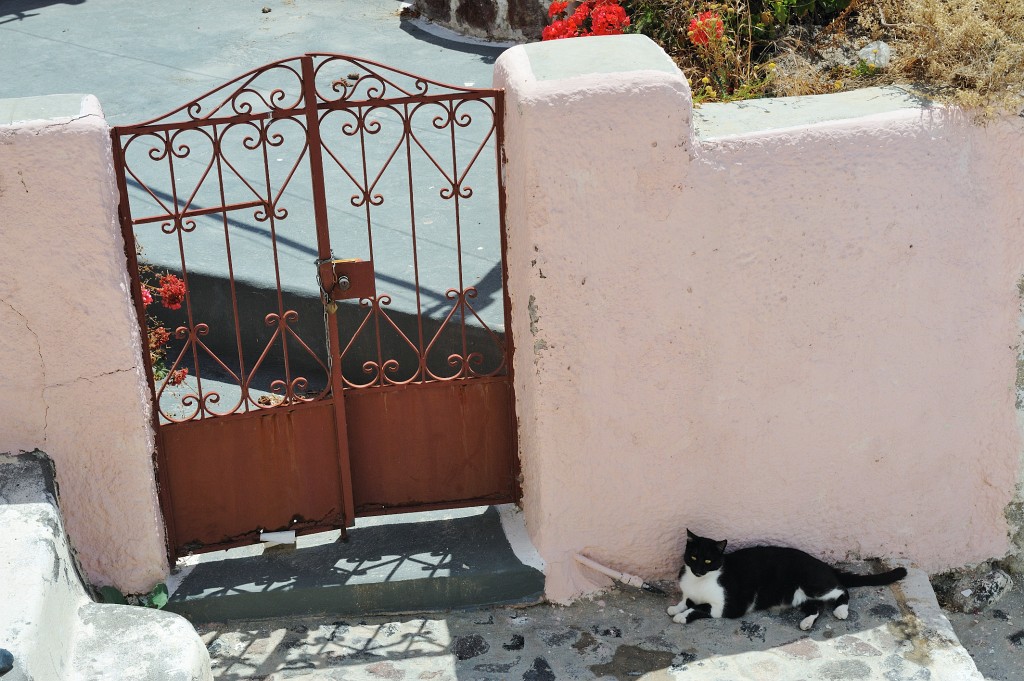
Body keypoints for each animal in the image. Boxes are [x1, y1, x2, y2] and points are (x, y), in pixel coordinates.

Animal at [667, 528, 909, 630]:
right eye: (694, 557)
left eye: (708, 561)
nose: (698, 569)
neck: (699, 582)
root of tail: (824, 565)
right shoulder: (690, 592)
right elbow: (686, 600)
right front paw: (675, 607)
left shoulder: (727, 607)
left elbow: (699, 608)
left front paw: (682, 616)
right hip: (798, 597)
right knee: (816, 608)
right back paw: (806, 622)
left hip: (814, 584)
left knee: (842, 590)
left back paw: (841, 610)